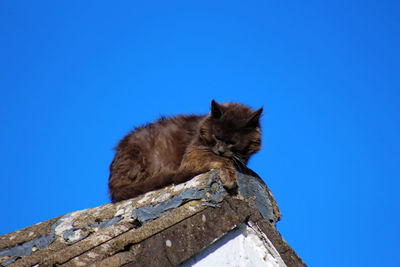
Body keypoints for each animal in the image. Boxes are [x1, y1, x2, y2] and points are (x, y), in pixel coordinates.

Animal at [108, 100, 262, 203]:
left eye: (232, 142)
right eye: (216, 137)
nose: (220, 150)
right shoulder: (192, 155)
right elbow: (223, 160)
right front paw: (229, 178)